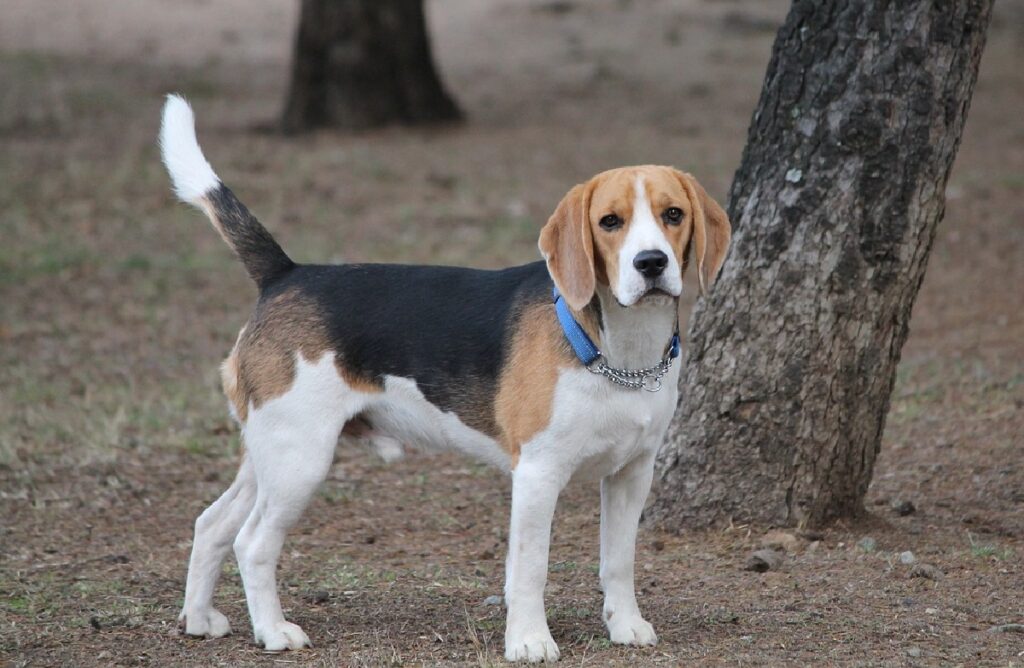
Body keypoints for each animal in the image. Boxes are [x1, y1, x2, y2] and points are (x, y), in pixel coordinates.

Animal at [159, 95, 729, 663]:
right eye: (610, 221)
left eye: (673, 214)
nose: (651, 263)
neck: (620, 351)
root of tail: (286, 274)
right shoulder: (538, 473)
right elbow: (531, 567)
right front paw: (529, 639)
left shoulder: (632, 473)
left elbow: (619, 561)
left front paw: (625, 624)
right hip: (300, 458)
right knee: (252, 542)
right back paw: (275, 631)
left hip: (269, 453)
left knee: (211, 524)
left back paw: (199, 619)